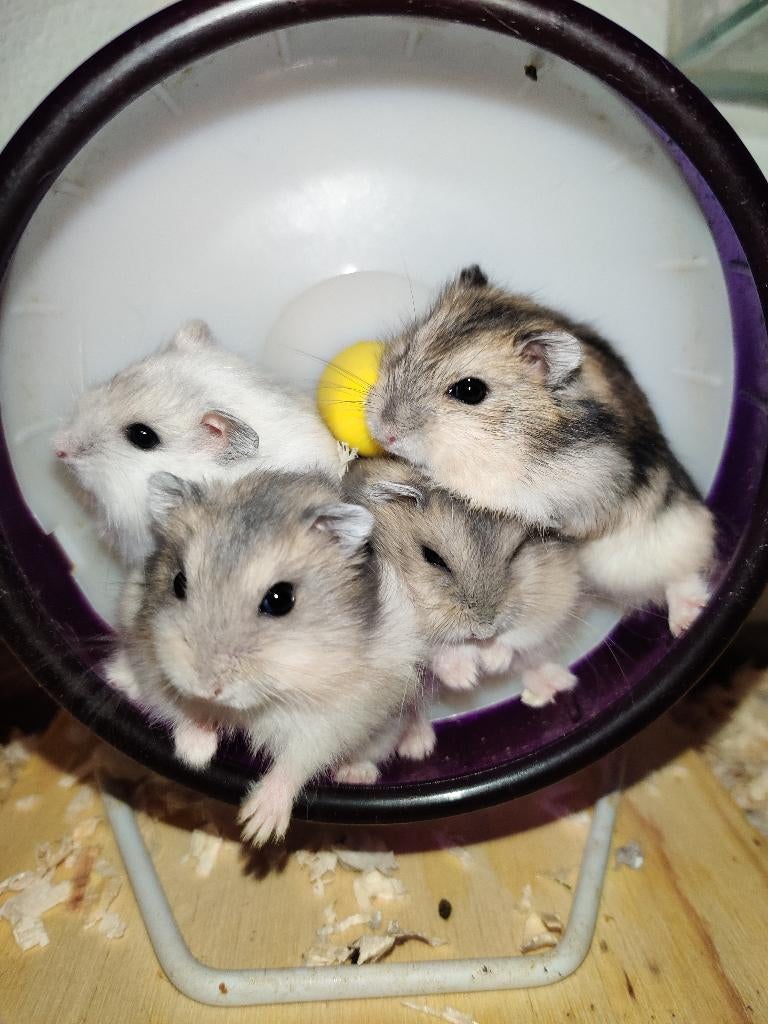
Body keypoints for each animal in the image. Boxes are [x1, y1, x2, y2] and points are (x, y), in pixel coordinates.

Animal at [104, 467, 427, 845]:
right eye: (178, 582)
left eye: (280, 599)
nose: (206, 687)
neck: (264, 700)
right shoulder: (153, 659)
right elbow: (177, 707)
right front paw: (195, 754)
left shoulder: (337, 717)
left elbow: (298, 760)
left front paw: (256, 827)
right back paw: (117, 678)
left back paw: (358, 772)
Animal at [343, 458, 582, 703]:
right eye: (432, 557)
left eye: (516, 552)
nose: (485, 632)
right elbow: (435, 648)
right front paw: (466, 678)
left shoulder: (557, 591)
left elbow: (519, 636)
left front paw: (493, 662)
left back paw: (560, 682)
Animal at [365, 266, 715, 636]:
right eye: (407, 349)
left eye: (470, 390)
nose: (383, 432)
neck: (512, 438)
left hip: (670, 537)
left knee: (685, 571)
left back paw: (687, 620)